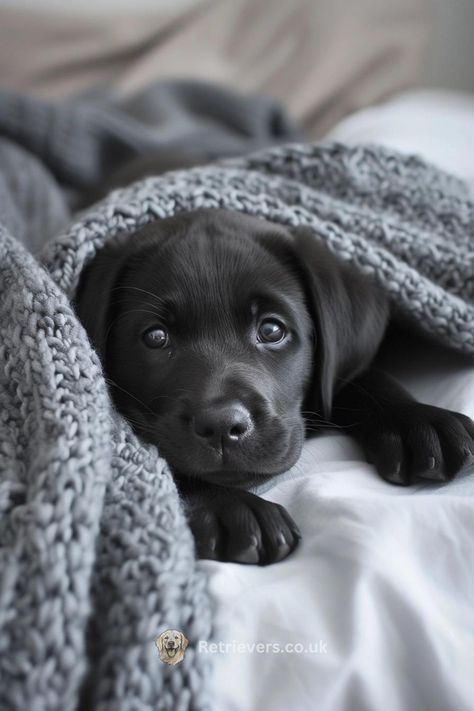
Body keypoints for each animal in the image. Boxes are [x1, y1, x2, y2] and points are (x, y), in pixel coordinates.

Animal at [76, 209, 474, 564]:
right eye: (156, 337)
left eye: (271, 330)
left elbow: (359, 378)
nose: (222, 425)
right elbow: (169, 463)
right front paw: (231, 508)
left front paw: (419, 420)